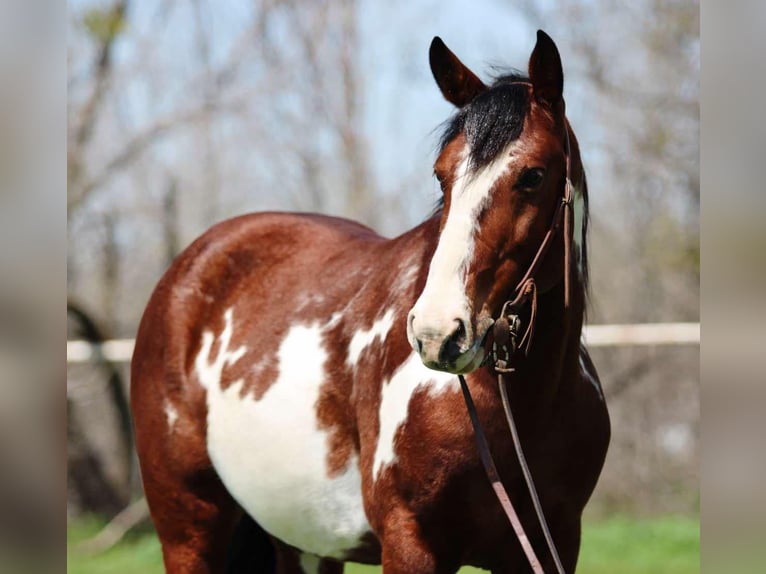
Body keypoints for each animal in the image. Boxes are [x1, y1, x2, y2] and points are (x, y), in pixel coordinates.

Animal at [131, 30, 609, 574]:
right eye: (441, 175)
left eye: (533, 175)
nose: (437, 334)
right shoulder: (409, 542)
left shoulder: (552, 546)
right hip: (189, 531)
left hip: (302, 542)